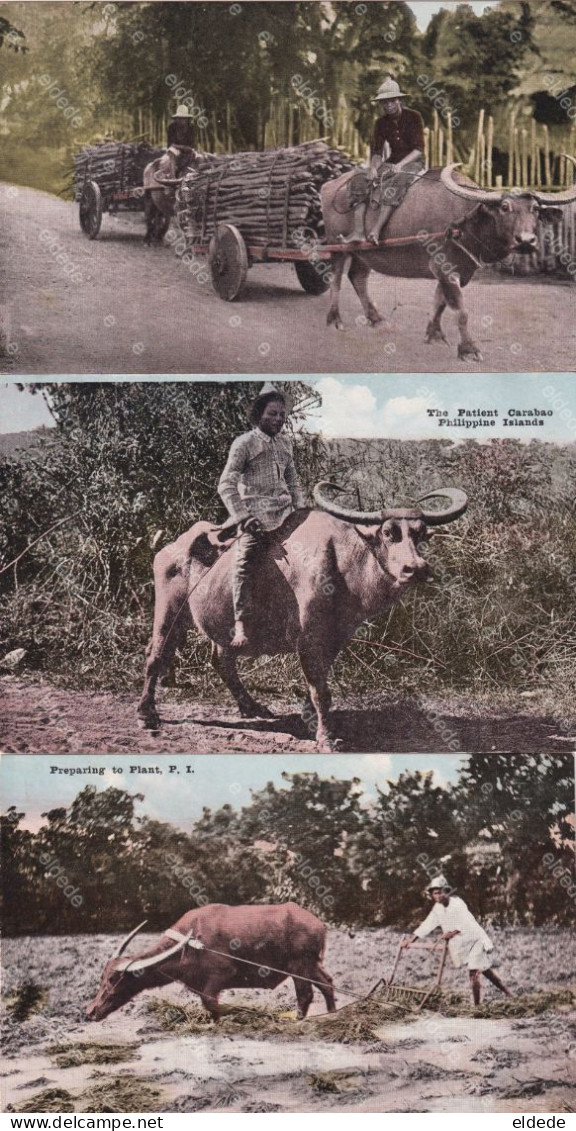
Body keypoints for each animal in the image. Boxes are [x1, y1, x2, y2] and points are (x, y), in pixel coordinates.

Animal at [87, 904, 334, 1022]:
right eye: (102, 977)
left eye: (113, 979)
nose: (90, 1011)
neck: (189, 945)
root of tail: (319, 925)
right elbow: (209, 1007)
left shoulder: (220, 976)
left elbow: (211, 1004)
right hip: (311, 965)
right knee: (327, 983)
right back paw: (332, 1014)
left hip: (299, 966)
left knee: (305, 994)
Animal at [135, 479, 466, 750]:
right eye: (388, 532)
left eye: (422, 534)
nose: (416, 568)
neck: (344, 562)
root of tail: (172, 546)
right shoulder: (309, 639)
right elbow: (321, 690)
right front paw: (326, 738)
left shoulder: (336, 638)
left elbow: (316, 688)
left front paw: (312, 722)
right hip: (169, 611)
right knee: (156, 654)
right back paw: (146, 714)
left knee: (221, 660)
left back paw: (252, 707)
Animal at [319, 157, 574, 359]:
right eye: (504, 207)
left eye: (535, 209)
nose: (526, 241)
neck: (466, 222)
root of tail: (328, 186)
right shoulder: (444, 268)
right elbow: (461, 311)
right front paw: (469, 349)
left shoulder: (456, 271)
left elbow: (440, 302)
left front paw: (434, 334)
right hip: (337, 246)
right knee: (336, 280)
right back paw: (334, 320)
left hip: (364, 253)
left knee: (358, 276)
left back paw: (376, 318)